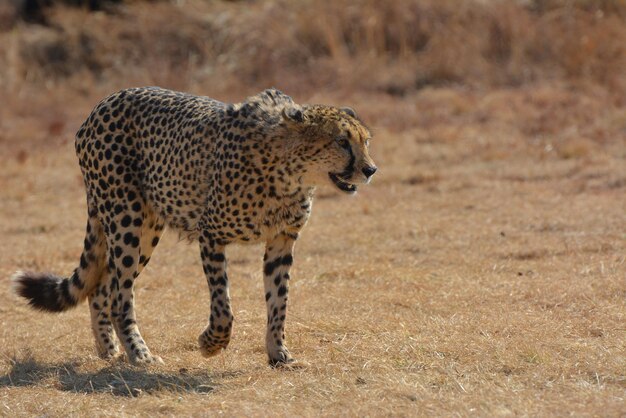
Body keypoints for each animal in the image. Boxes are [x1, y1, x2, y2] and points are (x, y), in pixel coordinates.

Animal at [12, 87, 376, 366]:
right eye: (342, 142)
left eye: (366, 141)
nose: (371, 169)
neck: (288, 173)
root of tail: (104, 103)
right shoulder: (211, 235)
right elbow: (223, 306)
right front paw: (211, 344)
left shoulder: (282, 241)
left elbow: (279, 302)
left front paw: (278, 354)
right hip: (126, 219)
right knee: (119, 297)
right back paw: (140, 354)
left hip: (146, 229)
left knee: (102, 287)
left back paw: (110, 350)